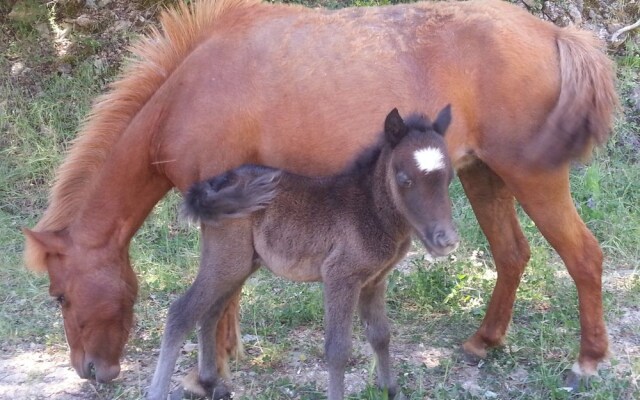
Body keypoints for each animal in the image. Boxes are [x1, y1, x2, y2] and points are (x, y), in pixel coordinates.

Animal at [22, 0, 616, 390]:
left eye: (60, 296)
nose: (91, 371)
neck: (189, 93)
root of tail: (554, 35)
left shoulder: (227, 208)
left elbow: (222, 298)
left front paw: (208, 370)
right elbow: (226, 294)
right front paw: (221, 362)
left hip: (531, 177)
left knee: (583, 256)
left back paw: (587, 360)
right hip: (483, 175)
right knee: (512, 253)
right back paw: (484, 341)